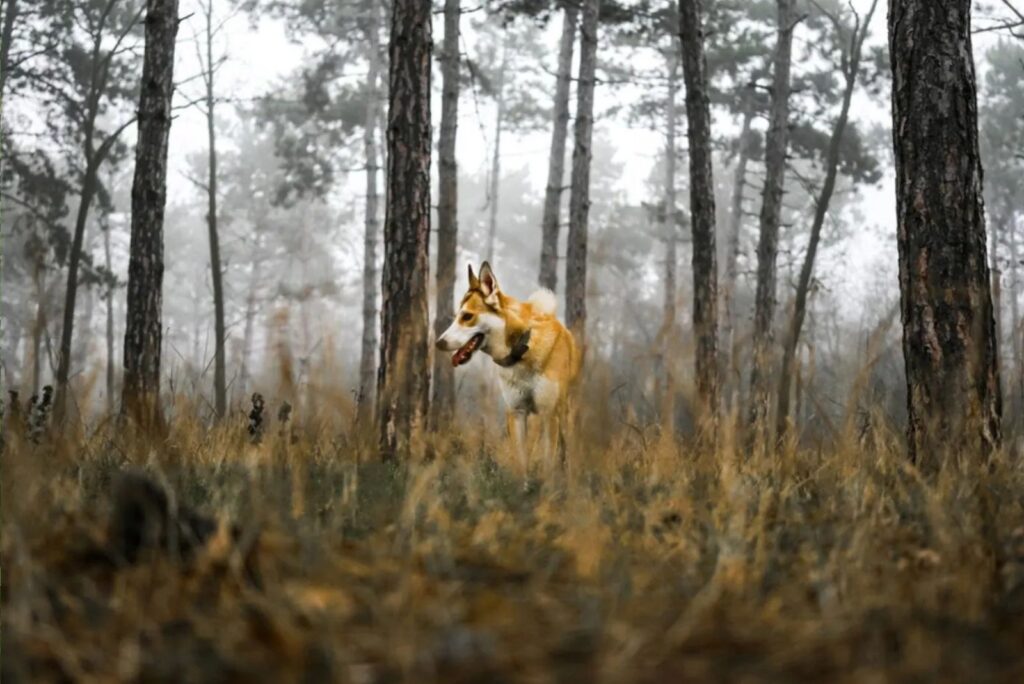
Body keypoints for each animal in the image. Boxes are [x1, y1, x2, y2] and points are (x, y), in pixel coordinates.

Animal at [432, 264, 577, 471]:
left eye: (467, 316)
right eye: (456, 317)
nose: (438, 343)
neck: (522, 351)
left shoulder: (549, 413)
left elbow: (549, 465)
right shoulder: (516, 413)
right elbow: (521, 463)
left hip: (564, 415)